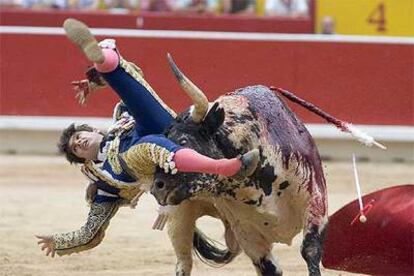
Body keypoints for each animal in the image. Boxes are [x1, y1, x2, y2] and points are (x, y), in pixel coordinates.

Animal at [150, 55, 328, 274]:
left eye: (183, 141)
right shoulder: (248, 234)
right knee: (184, 262)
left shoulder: (315, 204)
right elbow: (271, 268)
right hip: (179, 218)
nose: (157, 187)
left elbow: (309, 250)